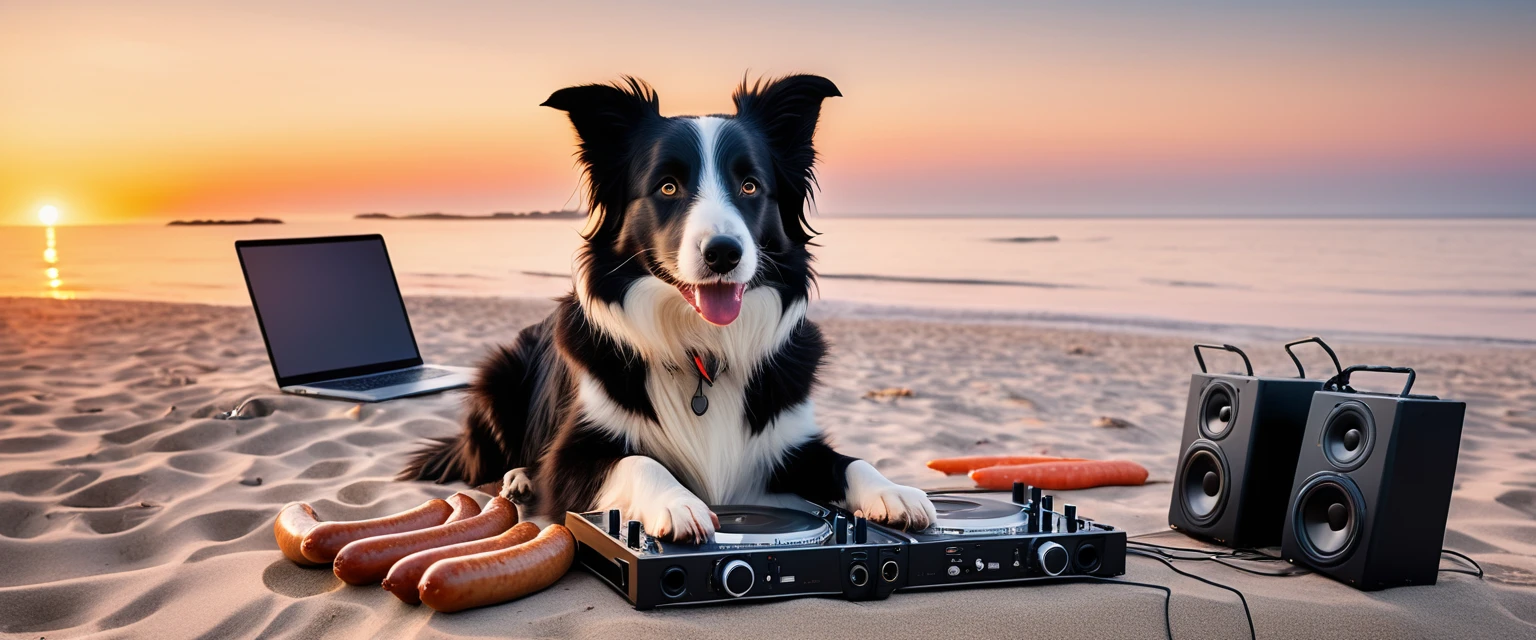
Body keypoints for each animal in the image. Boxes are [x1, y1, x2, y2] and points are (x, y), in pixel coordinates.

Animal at [396, 73, 933, 540]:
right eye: (668, 187)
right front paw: (679, 502)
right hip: (498, 376)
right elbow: (639, 460)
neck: (704, 351)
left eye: (750, 186)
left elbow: (850, 461)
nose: (723, 253)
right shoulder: (571, 461)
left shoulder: (790, 440)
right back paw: (518, 478)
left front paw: (895, 492)